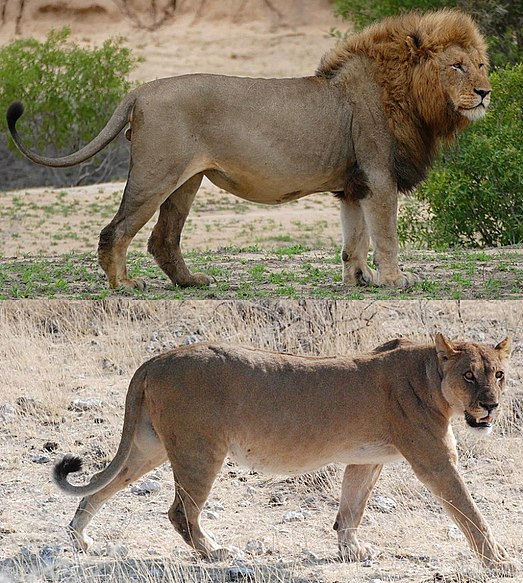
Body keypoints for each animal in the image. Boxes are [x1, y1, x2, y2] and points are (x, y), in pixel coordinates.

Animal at [7, 9, 492, 290]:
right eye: (457, 66)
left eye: (481, 65)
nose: (486, 92)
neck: (409, 95)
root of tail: (141, 90)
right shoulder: (378, 174)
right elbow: (385, 235)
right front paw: (395, 280)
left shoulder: (354, 185)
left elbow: (354, 238)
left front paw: (360, 279)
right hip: (156, 173)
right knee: (117, 230)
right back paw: (124, 286)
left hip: (186, 181)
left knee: (163, 239)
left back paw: (191, 282)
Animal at [52, 336, 516, 576]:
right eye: (468, 375)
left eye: (499, 374)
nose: (491, 406)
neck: (431, 375)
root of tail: (155, 359)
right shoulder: (433, 457)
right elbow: (470, 512)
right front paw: (500, 561)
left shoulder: (366, 458)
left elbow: (351, 506)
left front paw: (351, 551)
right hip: (200, 449)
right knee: (181, 513)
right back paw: (216, 552)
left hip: (149, 447)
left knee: (99, 490)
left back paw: (79, 538)